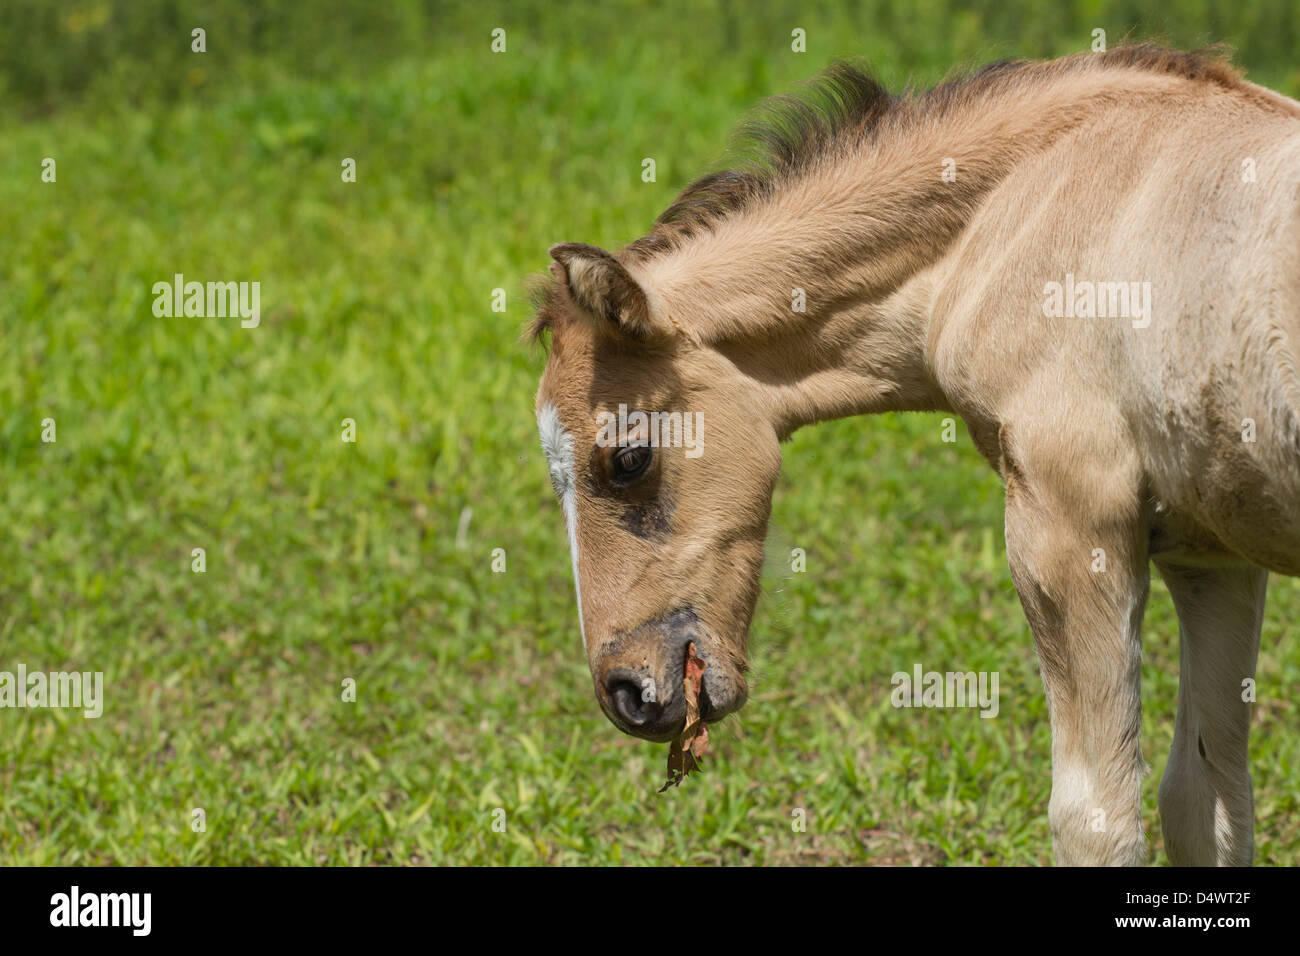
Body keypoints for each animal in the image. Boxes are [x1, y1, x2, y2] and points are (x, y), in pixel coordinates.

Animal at [527, 46, 1300, 868]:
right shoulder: (1212, 554)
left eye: (628, 459)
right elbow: (1204, 803)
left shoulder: (1070, 530)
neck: (1032, 209)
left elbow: (1096, 816)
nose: (626, 694)